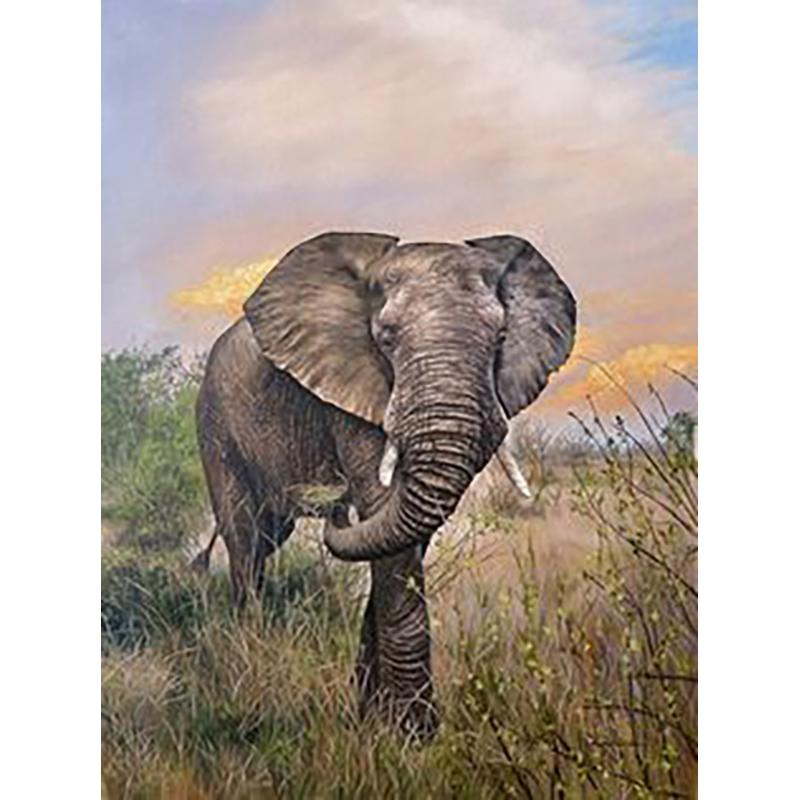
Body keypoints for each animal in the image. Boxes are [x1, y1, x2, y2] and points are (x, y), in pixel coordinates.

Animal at [192, 231, 576, 738]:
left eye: (499, 339)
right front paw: (412, 735)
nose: (333, 503)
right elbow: (383, 514)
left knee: (269, 537)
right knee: (246, 540)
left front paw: (375, 717)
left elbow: (405, 533)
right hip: (215, 422)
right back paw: (251, 654)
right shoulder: (348, 386)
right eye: (387, 338)